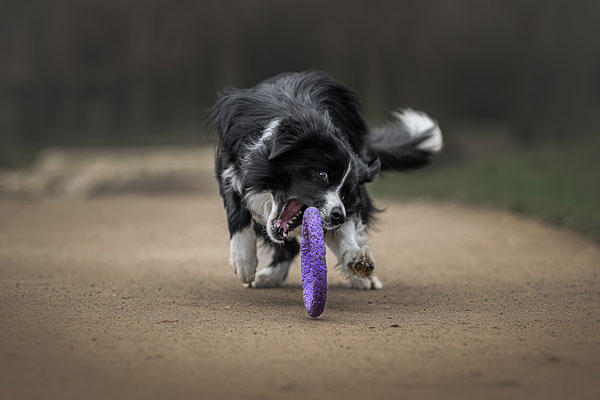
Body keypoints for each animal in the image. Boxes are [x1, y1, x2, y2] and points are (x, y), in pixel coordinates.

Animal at [210, 72, 440, 290]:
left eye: (345, 193)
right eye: (322, 174)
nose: (338, 215)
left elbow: (347, 229)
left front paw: (356, 258)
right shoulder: (229, 163)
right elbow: (235, 208)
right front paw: (244, 262)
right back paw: (268, 276)